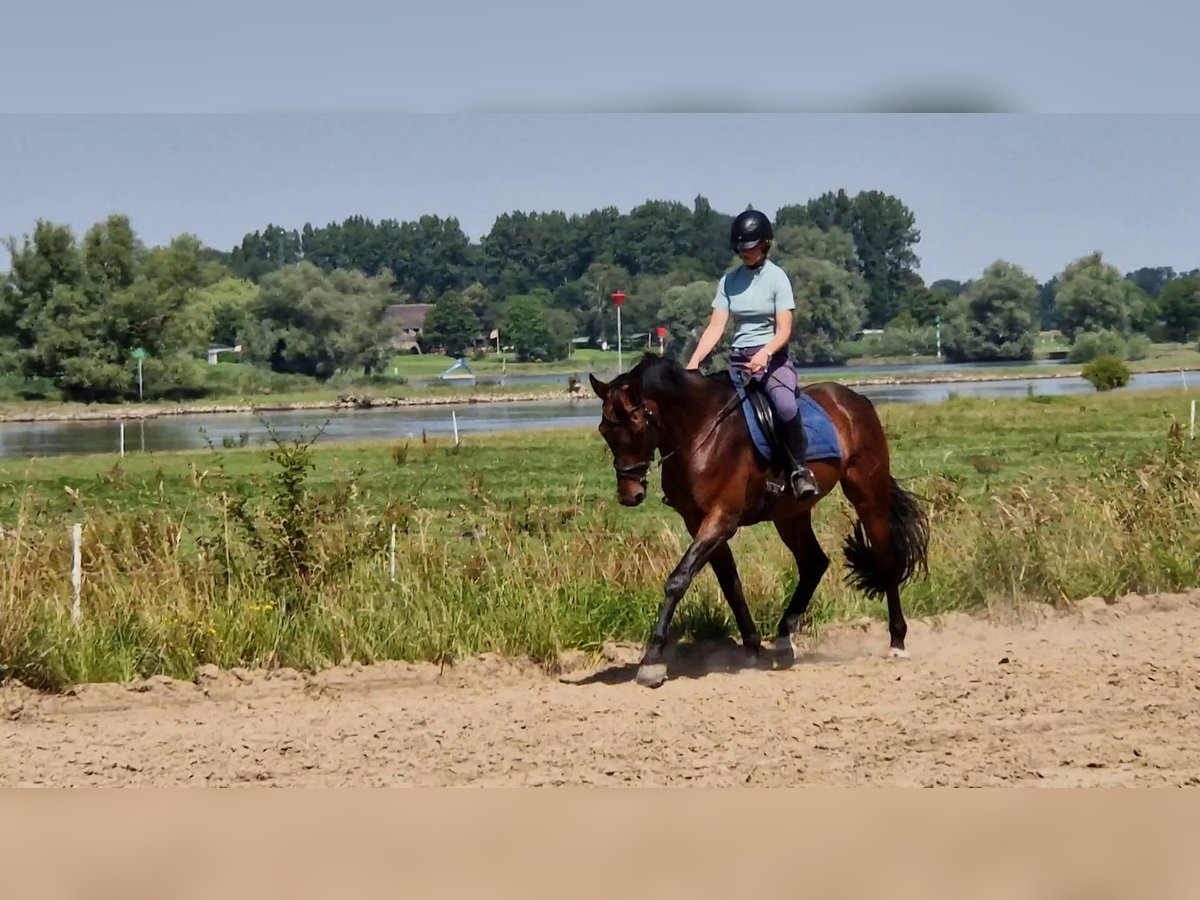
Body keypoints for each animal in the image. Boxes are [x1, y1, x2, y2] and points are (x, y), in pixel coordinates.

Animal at [588, 352, 926, 691]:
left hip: (867, 494)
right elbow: (731, 585)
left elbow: (678, 580)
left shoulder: (721, 519)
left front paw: (652, 661)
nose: (629, 494)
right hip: (791, 515)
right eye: (604, 429)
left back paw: (897, 641)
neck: (700, 431)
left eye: (636, 425)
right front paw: (751, 648)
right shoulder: (698, 522)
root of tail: (856, 400)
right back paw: (784, 640)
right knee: (814, 563)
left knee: (885, 559)